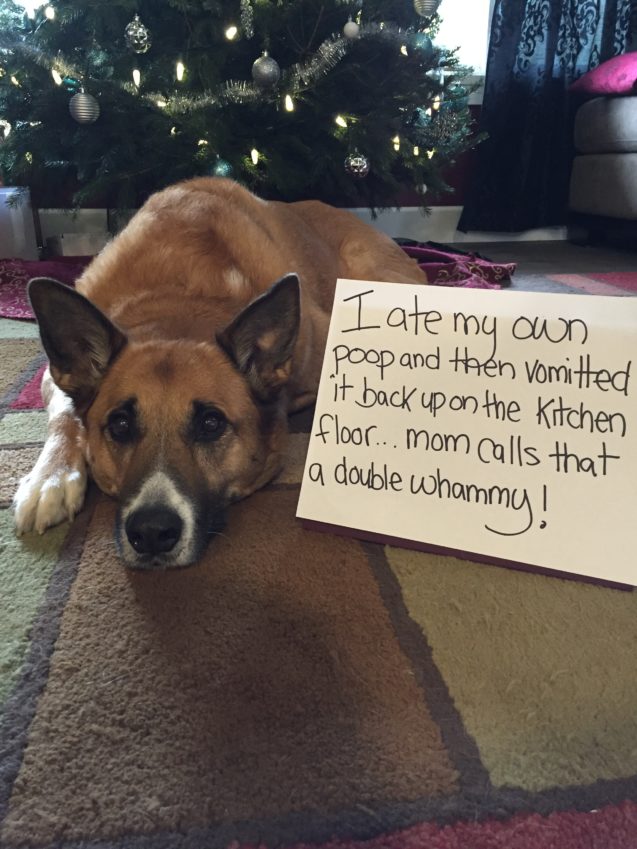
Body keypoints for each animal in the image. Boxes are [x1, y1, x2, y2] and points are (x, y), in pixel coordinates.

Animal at [12, 176, 424, 568]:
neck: (178, 294)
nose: (151, 533)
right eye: (120, 425)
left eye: (211, 424)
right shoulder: (53, 375)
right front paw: (51, 477)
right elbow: (65, 414)